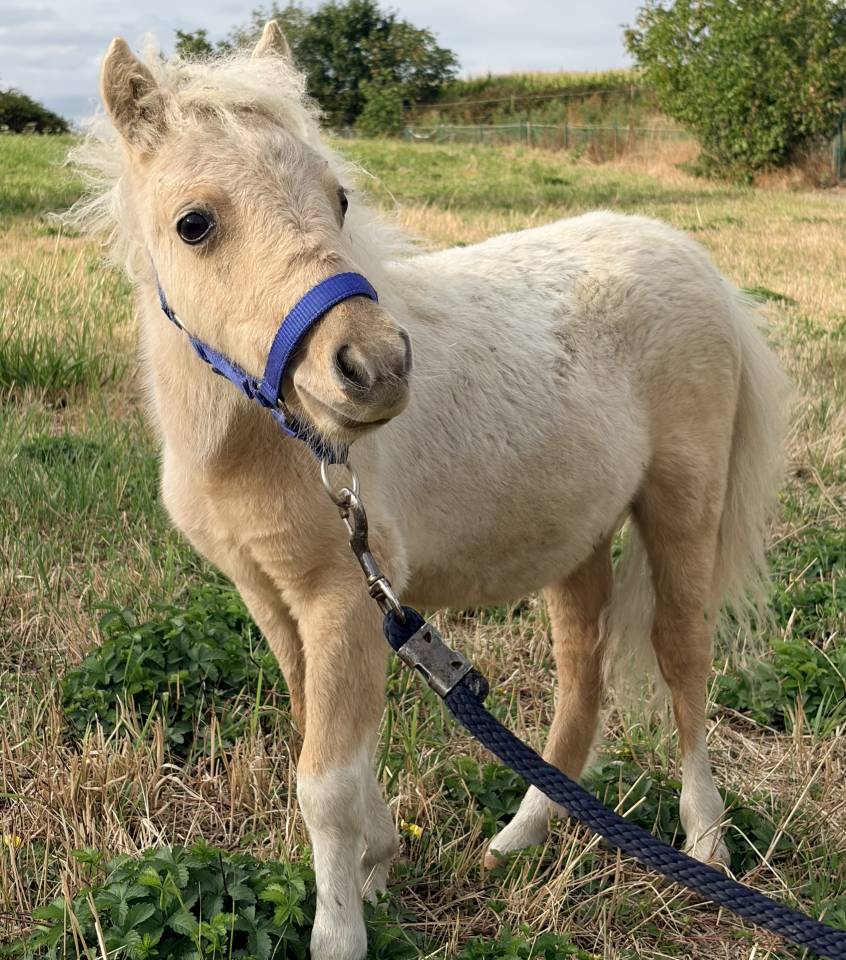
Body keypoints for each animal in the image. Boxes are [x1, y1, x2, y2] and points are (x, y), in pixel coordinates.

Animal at [69, 22, 789, 959]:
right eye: (194, 224)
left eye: (338, 198)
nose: (375, 368)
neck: (271, 445)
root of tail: (699, 264)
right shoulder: (273, 594)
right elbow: (322, 738)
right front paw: (376, 862)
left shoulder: (345, 595)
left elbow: (326, 783)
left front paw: (340, 930)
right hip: (578, 532)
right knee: (582, 678)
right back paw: (519, 839)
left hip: (682, 502)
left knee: (682, 657)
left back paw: (706, 842)